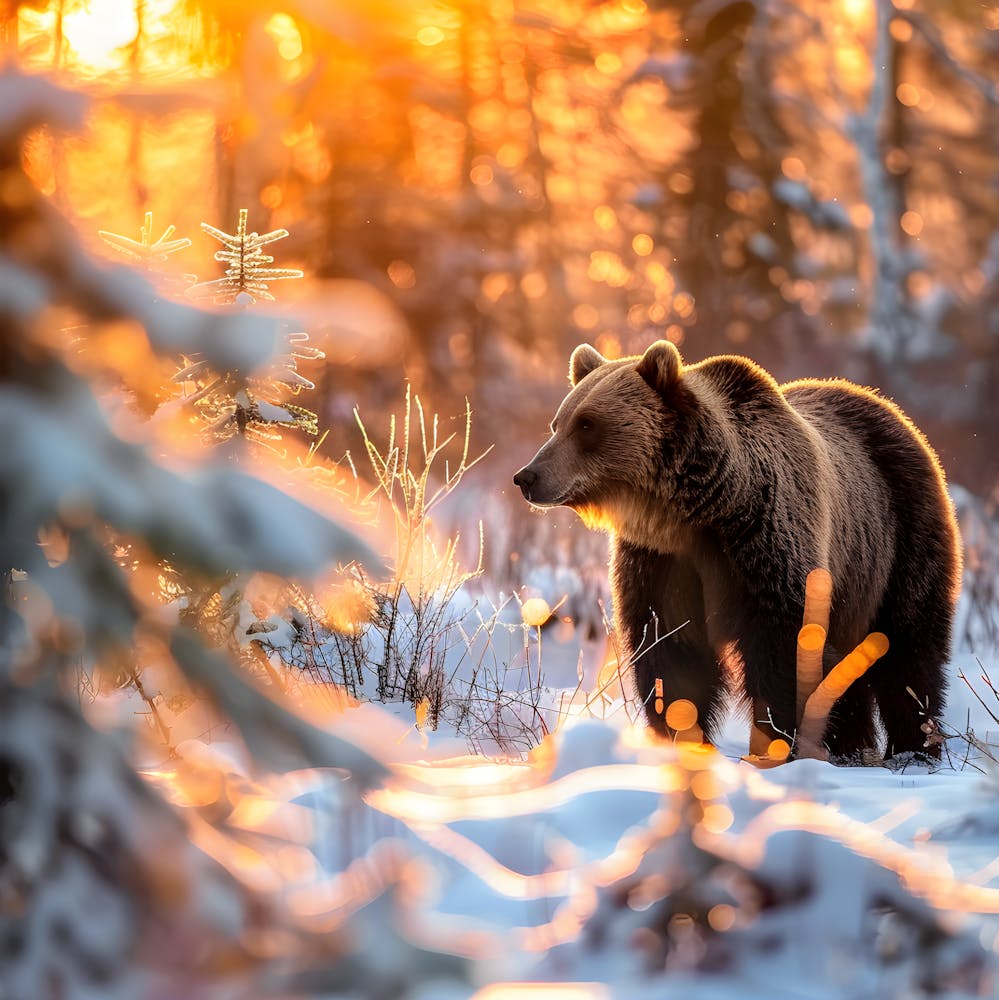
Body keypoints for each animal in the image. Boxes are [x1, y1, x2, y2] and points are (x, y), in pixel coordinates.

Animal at [513, 340, 962, 759]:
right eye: (558, 423)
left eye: (587, 424)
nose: (527, 476)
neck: (699, 510)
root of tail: (886, 407)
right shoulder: (663, 561)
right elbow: (669, 649)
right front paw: (681, 736)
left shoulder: (763, 542)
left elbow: (786, 644)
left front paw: (778, 741)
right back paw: (853, 745)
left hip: (901, 532)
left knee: (907, 646)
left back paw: (914, 746)